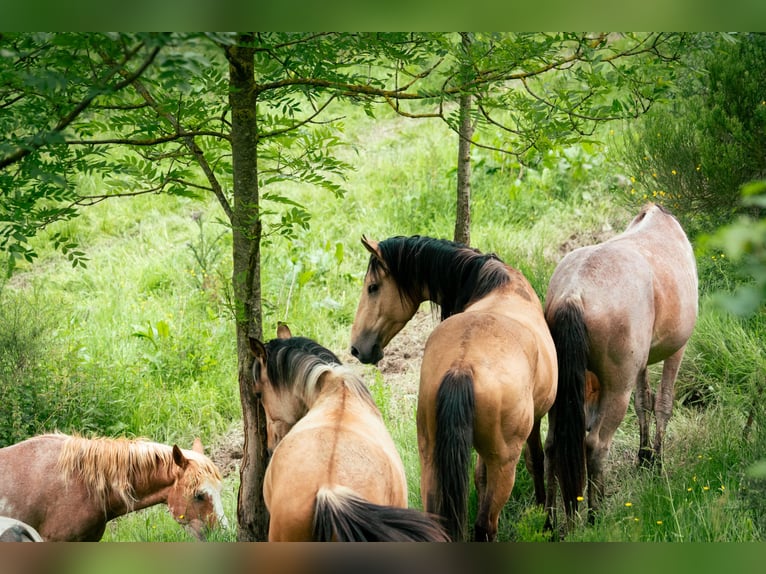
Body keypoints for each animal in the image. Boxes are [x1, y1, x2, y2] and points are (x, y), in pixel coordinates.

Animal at [350, 236, 560, 544]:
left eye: (373, 287)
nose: (356, 347)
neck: (499, 284)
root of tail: (462, 366)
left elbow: (480, 478)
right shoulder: (535, 422)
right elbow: (536, 460)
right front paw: (545, 519)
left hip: (431, 457)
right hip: (503, 463)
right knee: (486, 526)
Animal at [544, 204, 704, 532]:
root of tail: (574, 291)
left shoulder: (639, 365)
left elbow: (643, 402)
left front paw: (645, 457)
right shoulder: (677, 350)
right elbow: (663, 404)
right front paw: (657, 463)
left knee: (552, 445)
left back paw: (552, 523)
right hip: (618, 388)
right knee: (596, 444)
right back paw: (594, 515)